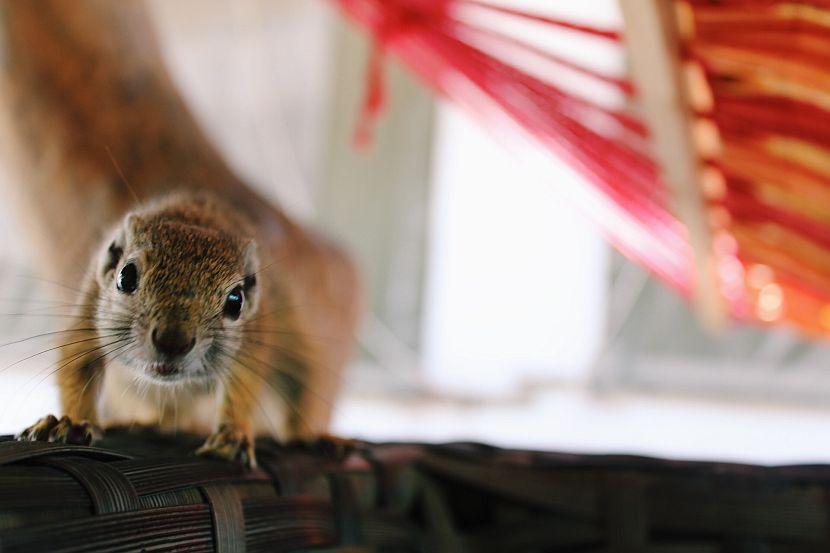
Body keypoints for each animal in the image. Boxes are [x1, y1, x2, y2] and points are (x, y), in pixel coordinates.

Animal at [0, 1, 364, 466]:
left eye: (235, 301)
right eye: (126, 276)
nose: (173, 342)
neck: (198, 218)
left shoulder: (257, 334)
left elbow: (243, 384)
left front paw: (232, 435)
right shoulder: (88, 306)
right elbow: (76, 364)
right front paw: (70, 422)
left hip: (298, 346)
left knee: (299, 395)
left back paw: (314, 437)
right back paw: (142, 424)